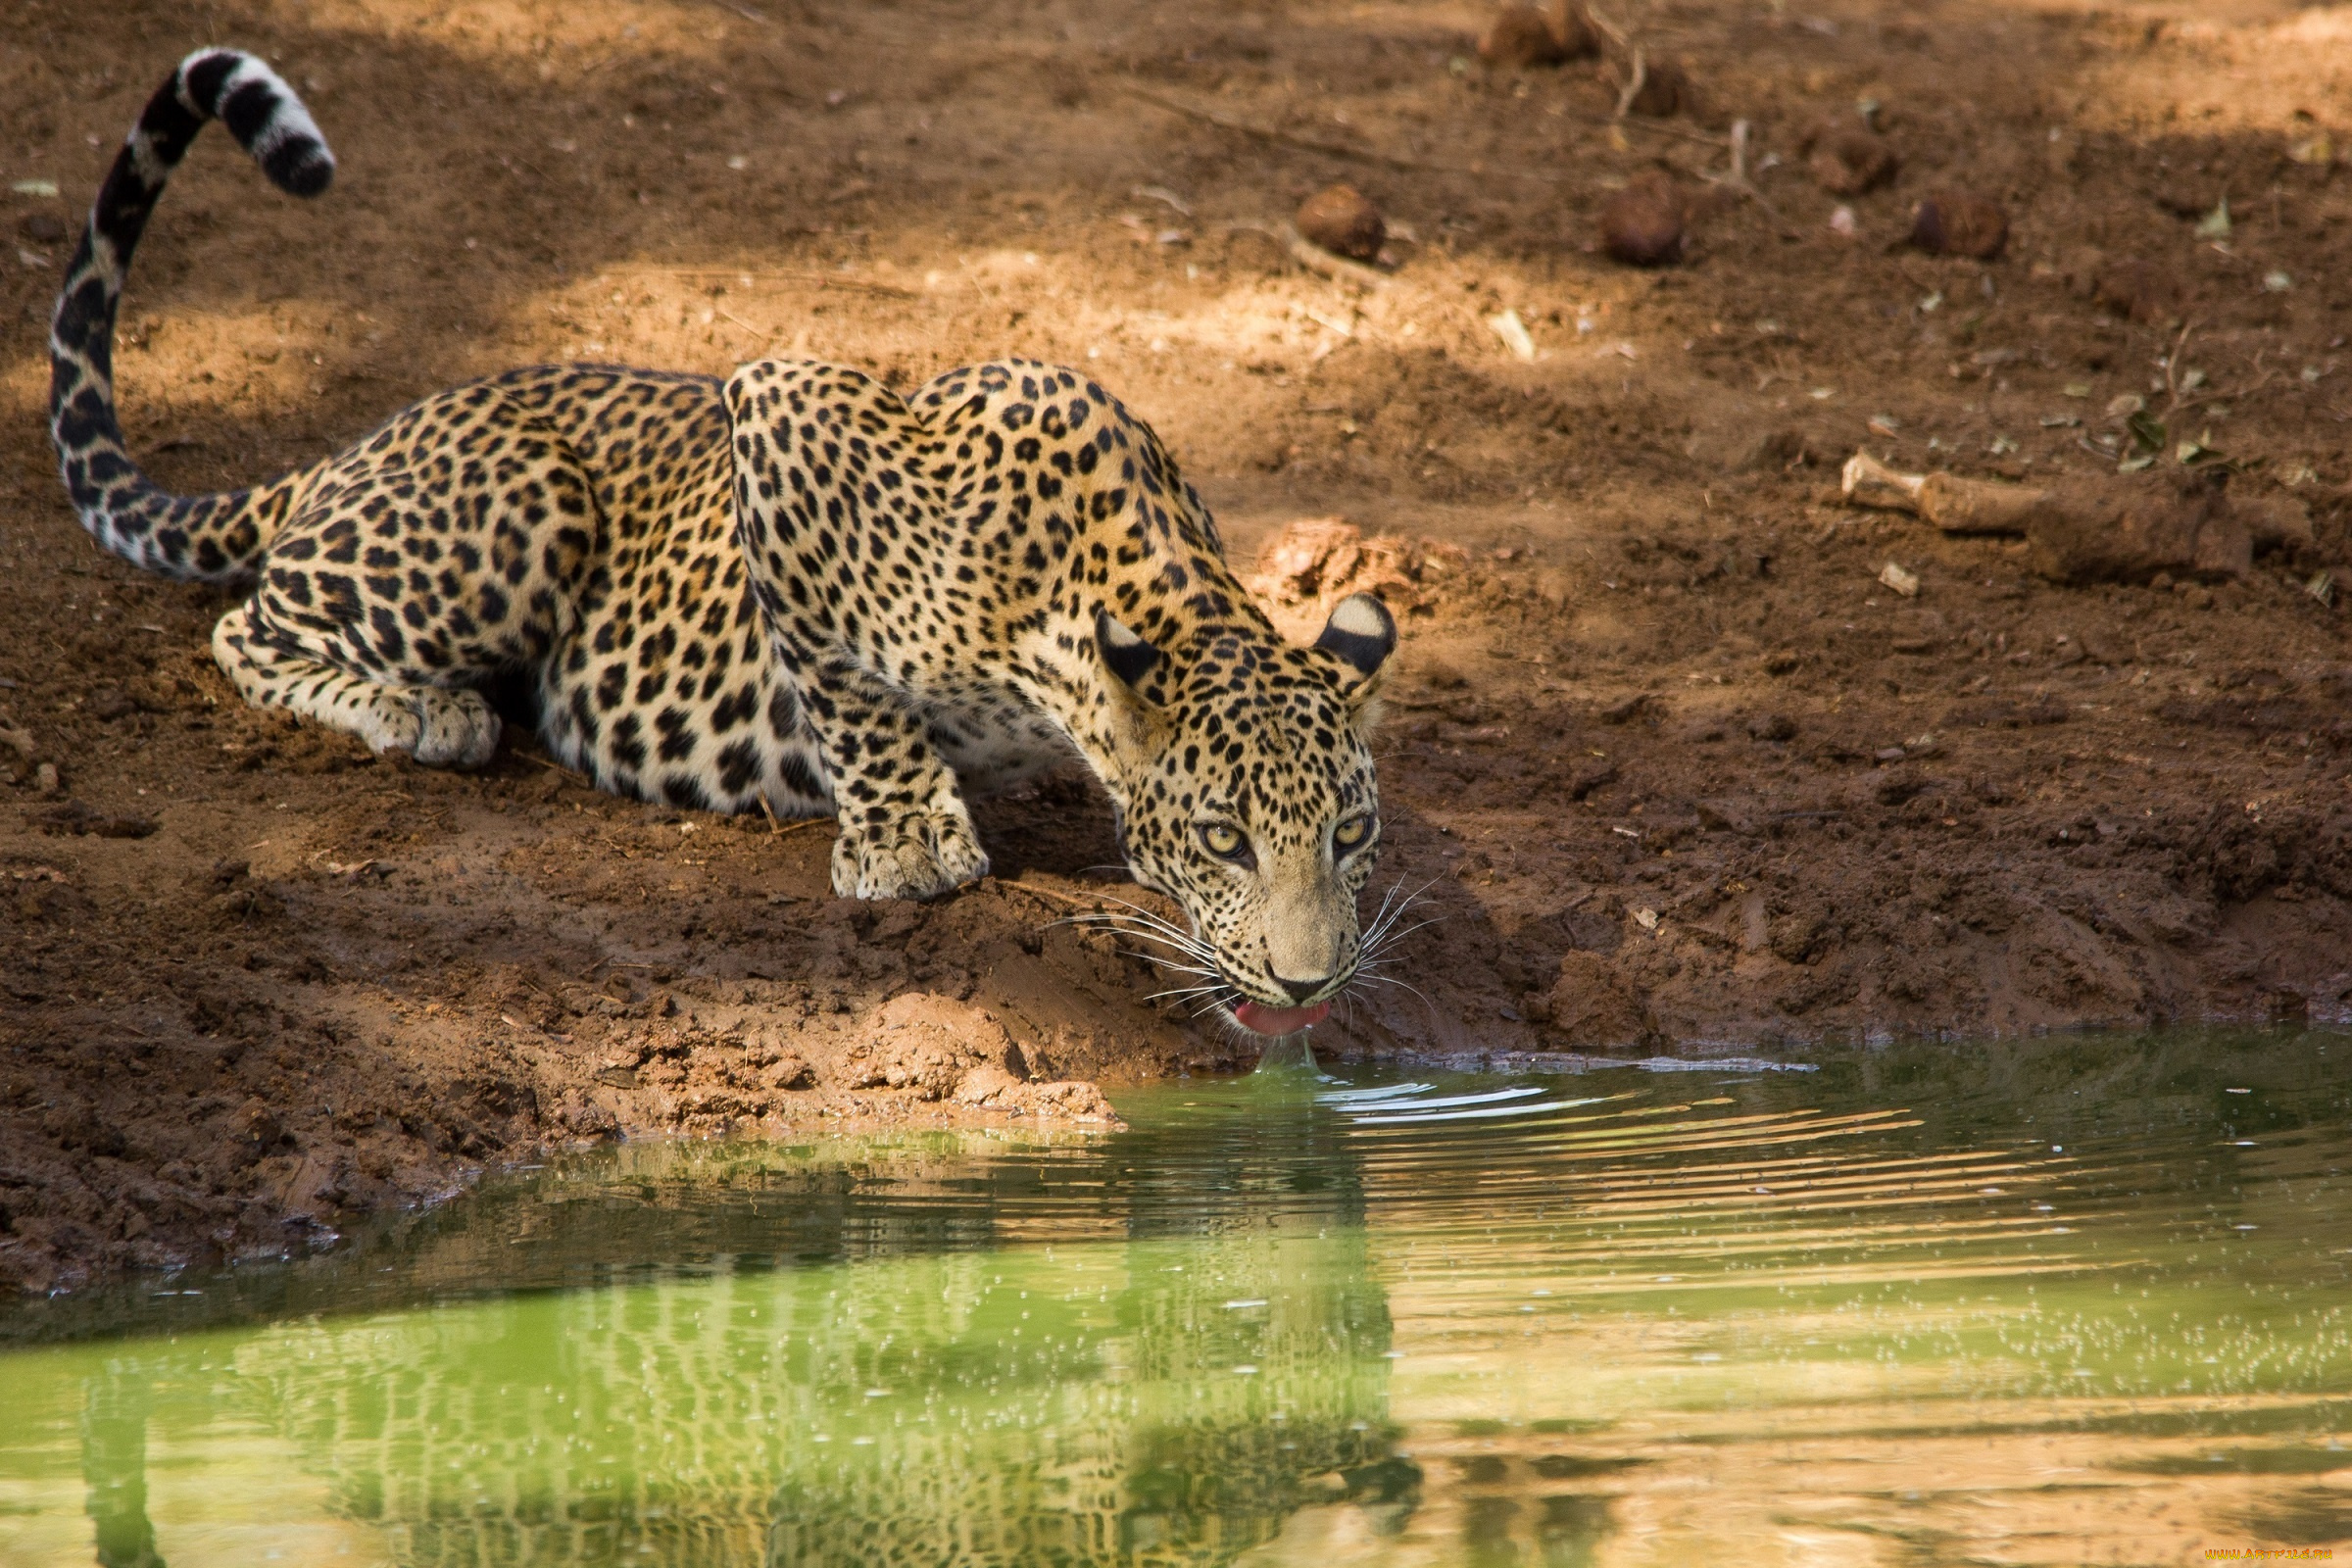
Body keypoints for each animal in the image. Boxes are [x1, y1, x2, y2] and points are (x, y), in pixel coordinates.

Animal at [45, 49, 1392, 1034]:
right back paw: (420, 710)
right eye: (1223, 840)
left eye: (1352, 834)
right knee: (245, 622)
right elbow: (850, 692)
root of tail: (358, 442)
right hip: (524, 504)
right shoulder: (779, 407)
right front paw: (907, 839)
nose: (1312, 980)